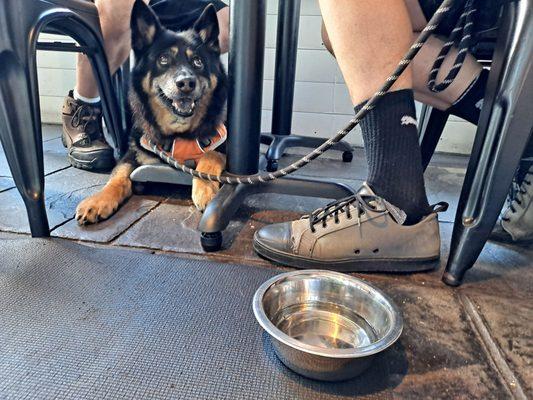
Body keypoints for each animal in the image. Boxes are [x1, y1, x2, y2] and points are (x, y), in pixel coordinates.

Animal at [74, 0, 225, 225]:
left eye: (198, 61)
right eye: (163, 59)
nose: (186, 83)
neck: (177, 132)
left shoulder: (224, 144)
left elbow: (209, 156)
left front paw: (206, 191)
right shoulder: (133, 151)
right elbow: (117, 175)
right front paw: (98, 200)